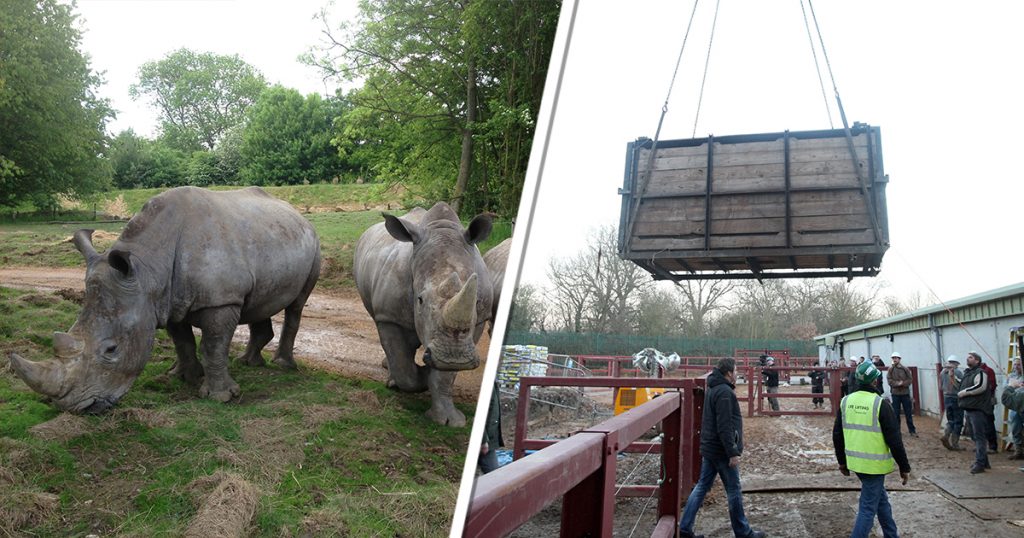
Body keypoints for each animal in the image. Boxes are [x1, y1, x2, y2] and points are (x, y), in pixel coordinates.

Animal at [8, 186, 321, 413]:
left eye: (111, 350)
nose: (75, 408)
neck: (148, 269)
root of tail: (298, 214)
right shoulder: (165, 300)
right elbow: (182, 341)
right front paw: (182, 376)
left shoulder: (220, 301)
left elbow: (213, 346)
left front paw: (220, 397)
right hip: (272, 236)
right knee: (259, 302)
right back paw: (249, 363)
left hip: (313, 244)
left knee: (297, 304)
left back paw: (283, 366)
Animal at [354, 203, 492, 426]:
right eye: (419, 300)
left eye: (477, 301)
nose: (455, 357)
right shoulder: (389, 316)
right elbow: (403, 366)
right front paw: (421, 375)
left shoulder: (478, 320)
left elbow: (445, 376)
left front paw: (449, 421)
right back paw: (393, 378)